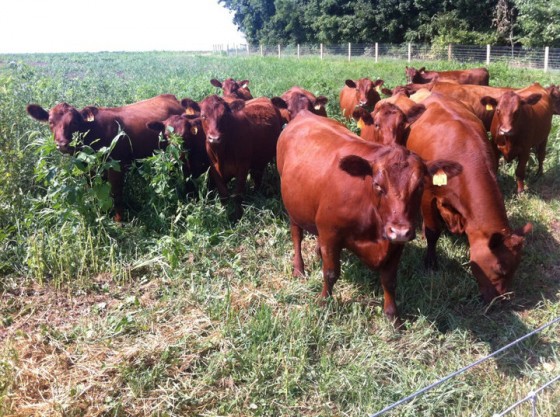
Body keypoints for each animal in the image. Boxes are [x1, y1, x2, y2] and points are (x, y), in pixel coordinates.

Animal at [26, 94, 187, 221]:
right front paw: (100, 212)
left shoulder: (116, 166)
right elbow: (94, 190)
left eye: (74, 122)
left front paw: (118, 221)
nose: (62, 144)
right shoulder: (87, 168)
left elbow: (116, 194)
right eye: (51, 122)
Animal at [276, 109, 464, 320]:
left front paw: (393, 316)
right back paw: (298, 268)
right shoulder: (331, 234)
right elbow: (331, 273)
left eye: (420, 185)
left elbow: (389, 280)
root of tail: (304, 114)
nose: (399, 231)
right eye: (378, 185)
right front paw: (324, 303)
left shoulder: (395, 245)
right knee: (296, 235)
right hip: (292, 208)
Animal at [402, 93, 532, 302]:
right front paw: (430, 262)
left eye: (516, 267)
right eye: (500, 269)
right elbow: (432, 231)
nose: (501, 299)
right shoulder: (427, 195)